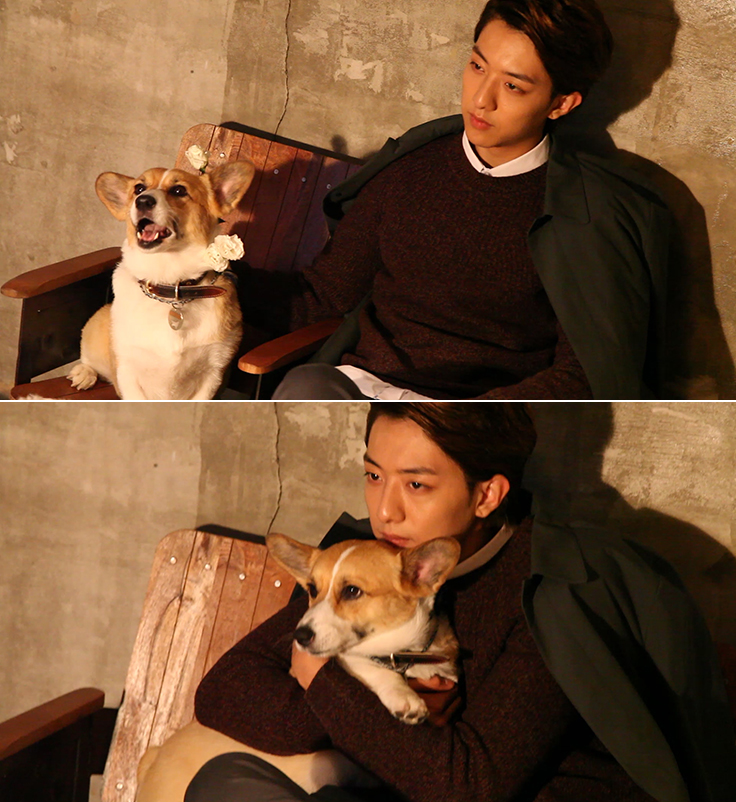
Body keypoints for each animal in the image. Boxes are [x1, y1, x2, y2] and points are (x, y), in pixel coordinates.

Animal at [67, 161, 254, 399]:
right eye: (138, 188)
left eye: (179, 191)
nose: (143, 200)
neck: (170, 284)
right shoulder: (127, 369)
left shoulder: (213, 372)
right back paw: (84, 373)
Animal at [134, 534, 461, 800]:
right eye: (312, 589)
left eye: (352, 591)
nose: (298, 636)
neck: (402, 653)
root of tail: (154, 756)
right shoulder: (347, 660)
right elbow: (364, 664)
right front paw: (404, 697)